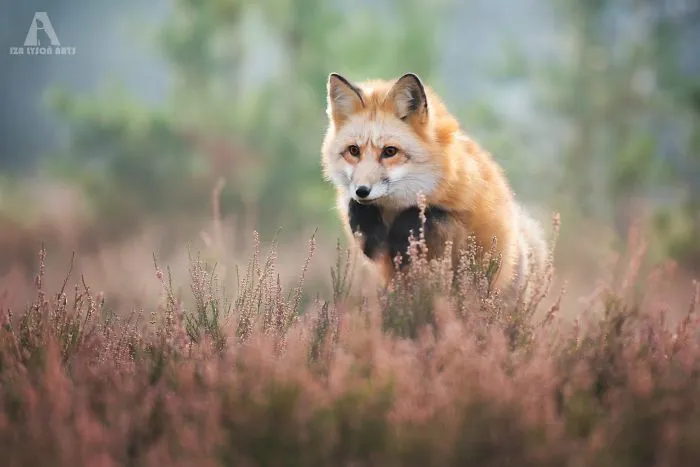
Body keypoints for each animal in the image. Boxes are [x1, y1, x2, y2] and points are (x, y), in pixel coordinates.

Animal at [320, 72, 549, 299]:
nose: (362, 191)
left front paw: (404, 238)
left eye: (390, 151)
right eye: (353, 151)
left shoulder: (470, 231)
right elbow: (364, 227)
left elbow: (428, 213)